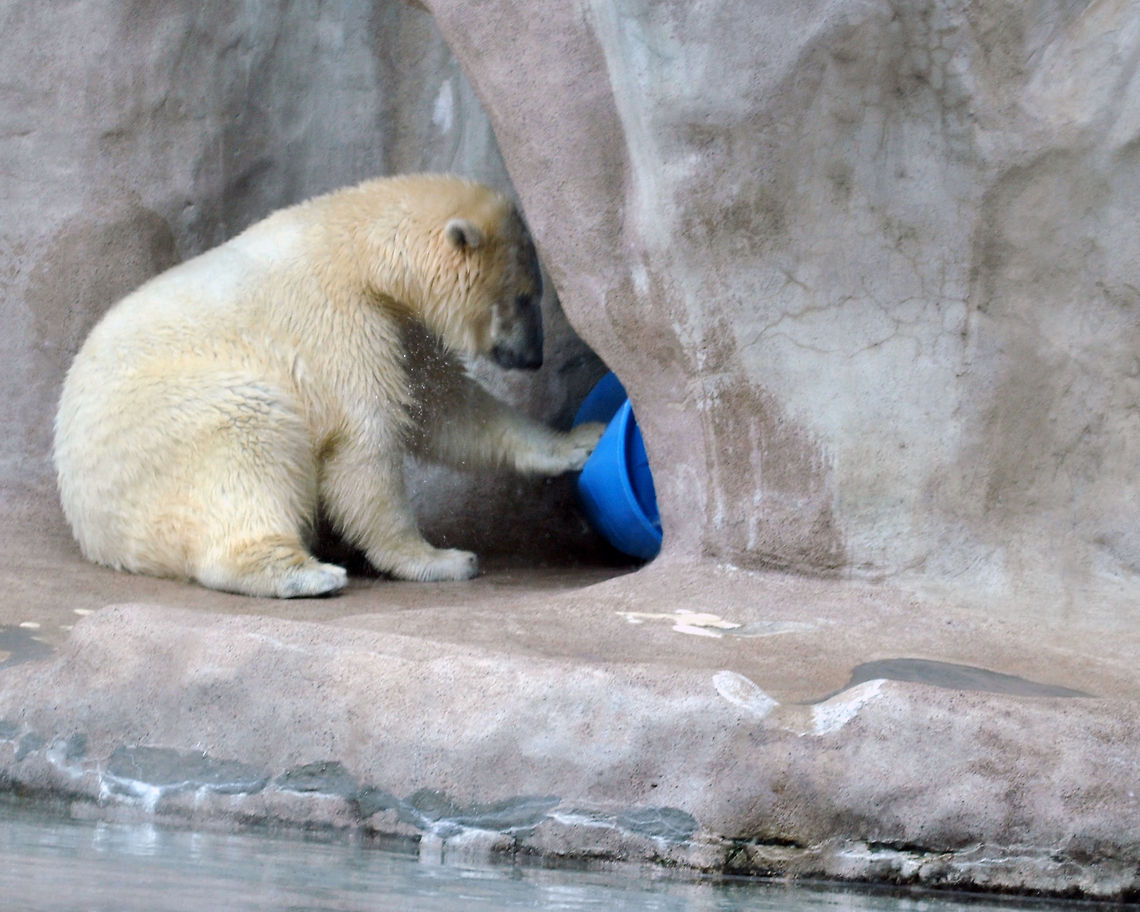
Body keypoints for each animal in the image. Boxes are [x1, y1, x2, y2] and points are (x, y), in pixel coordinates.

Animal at [53, 174, 606, 598]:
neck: (356, 246)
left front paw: (579, 441)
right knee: (245, 441)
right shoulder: (338, 322)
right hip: (174, 421)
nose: (534, 358)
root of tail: (94, 533)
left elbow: (444, 406)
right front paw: (444, 559)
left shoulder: (395, 324)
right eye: (523, 297)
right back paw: (307, 574)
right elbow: (365, 442)